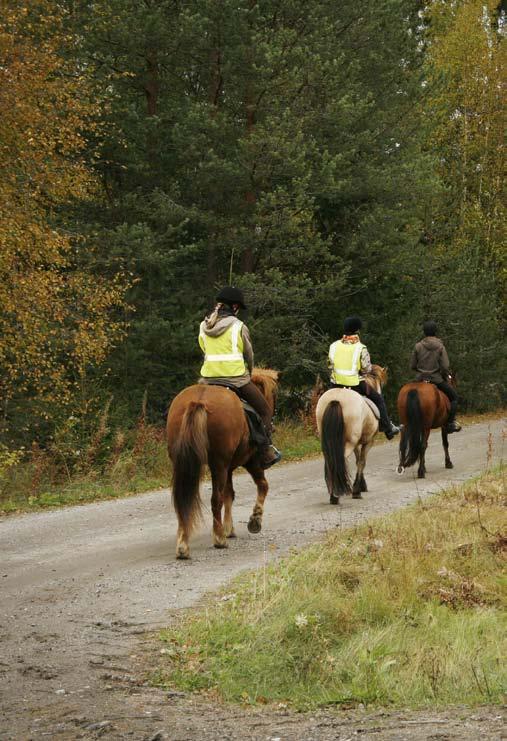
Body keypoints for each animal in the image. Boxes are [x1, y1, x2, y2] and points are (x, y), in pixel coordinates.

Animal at [166, 368, 278, 556]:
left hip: (185, 464)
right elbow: (262, 486)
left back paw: (183, 544)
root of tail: (199, 400)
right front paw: (254, 521)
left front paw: (229, 528)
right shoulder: (252, 462)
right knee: (215, 500)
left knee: (182, 500)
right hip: (219, 465)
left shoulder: (229, 468)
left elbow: (229, 494)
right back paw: (219, 539)